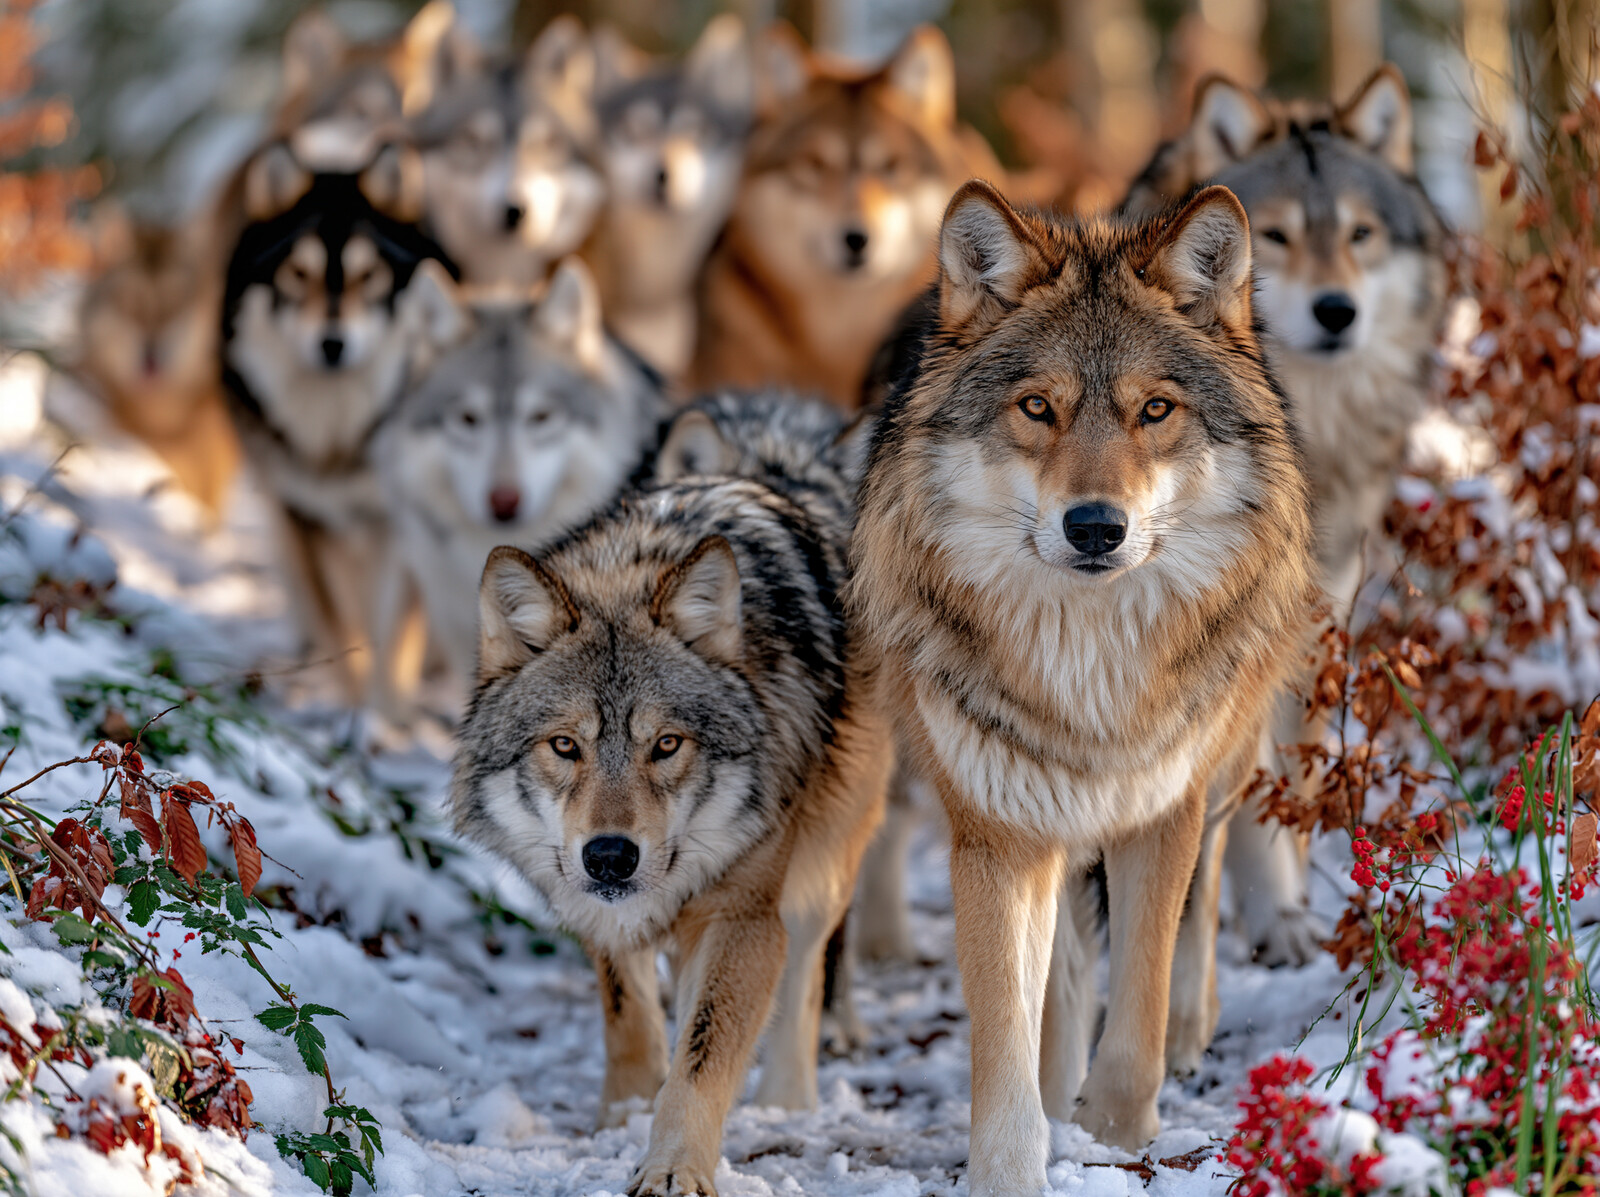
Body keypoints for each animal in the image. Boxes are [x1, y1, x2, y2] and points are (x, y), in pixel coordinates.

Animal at [220, 142, 451, 693]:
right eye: (296, 274)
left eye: (370, 276)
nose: (332, 345)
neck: (337, 438)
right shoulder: (302, 517)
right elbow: (343, 635)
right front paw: (352, 705)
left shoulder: (397, 525)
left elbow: (392, 645)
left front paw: (382, 712)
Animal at [451, 393, 888, 1197]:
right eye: (566, 746)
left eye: (666, 745)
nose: (611, 856)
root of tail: (774, 464)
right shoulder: (595, 902)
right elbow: (627, 1013)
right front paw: (622, 1114)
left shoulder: (743, 914)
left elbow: (705, 1056)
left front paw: (673, 1168)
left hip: (828, 851)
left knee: (809, 966)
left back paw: (788, 1103)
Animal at [849, 181, 1315, 1186]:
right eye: (1037, 407)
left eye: (1155, 410)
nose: (1096, 526)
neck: (1090, 666)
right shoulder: (996, 831)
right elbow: (1007, 1032)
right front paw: (1014, 1167)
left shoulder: (1162, 811)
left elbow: (1137, 1000)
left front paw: (1115, 1136)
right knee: (1061, 967)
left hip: (1222, 762)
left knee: (1203, 902)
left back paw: (1190, 1030)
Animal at [1124, 66, 1448, 965]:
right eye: (1274, 236)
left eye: (1361, 234)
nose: (1337, 310)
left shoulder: (1309, 633)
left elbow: (1286, 794)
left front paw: (1288, 912)